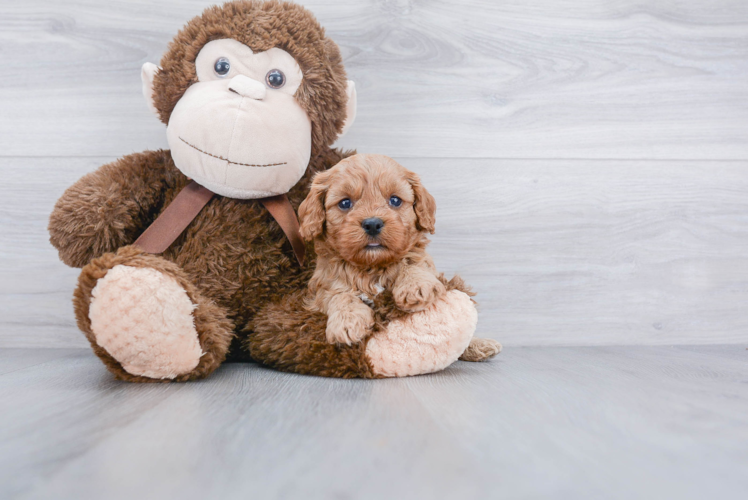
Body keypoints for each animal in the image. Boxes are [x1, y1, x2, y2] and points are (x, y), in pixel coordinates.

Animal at [296, 154, 450, 346]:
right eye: (345, 203)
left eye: (395, 200)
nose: (372, 224)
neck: (373, 266)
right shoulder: (322, 285)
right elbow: (338, 294)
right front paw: (347, 321)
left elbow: (414, 261)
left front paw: (416, 285)